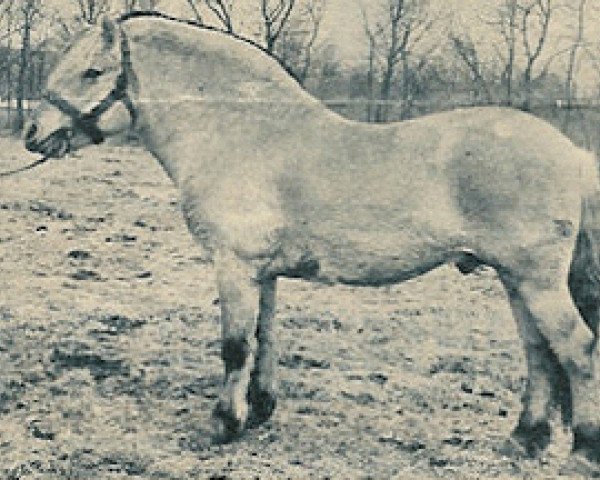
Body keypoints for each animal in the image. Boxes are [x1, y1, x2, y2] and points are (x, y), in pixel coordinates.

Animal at [22, 12, 600, 472]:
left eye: (92, 71)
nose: (31, 133)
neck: (239, 131)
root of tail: (570, 152)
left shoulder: (234, 266)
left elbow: (235, 345)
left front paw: (222, 424)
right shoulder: (263, 273)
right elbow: (265, 337)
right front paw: (259, 411)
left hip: (536, 280)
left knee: (576, 349)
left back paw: (582, 451)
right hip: (513, 278)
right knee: (538, 353)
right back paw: (524, 440)